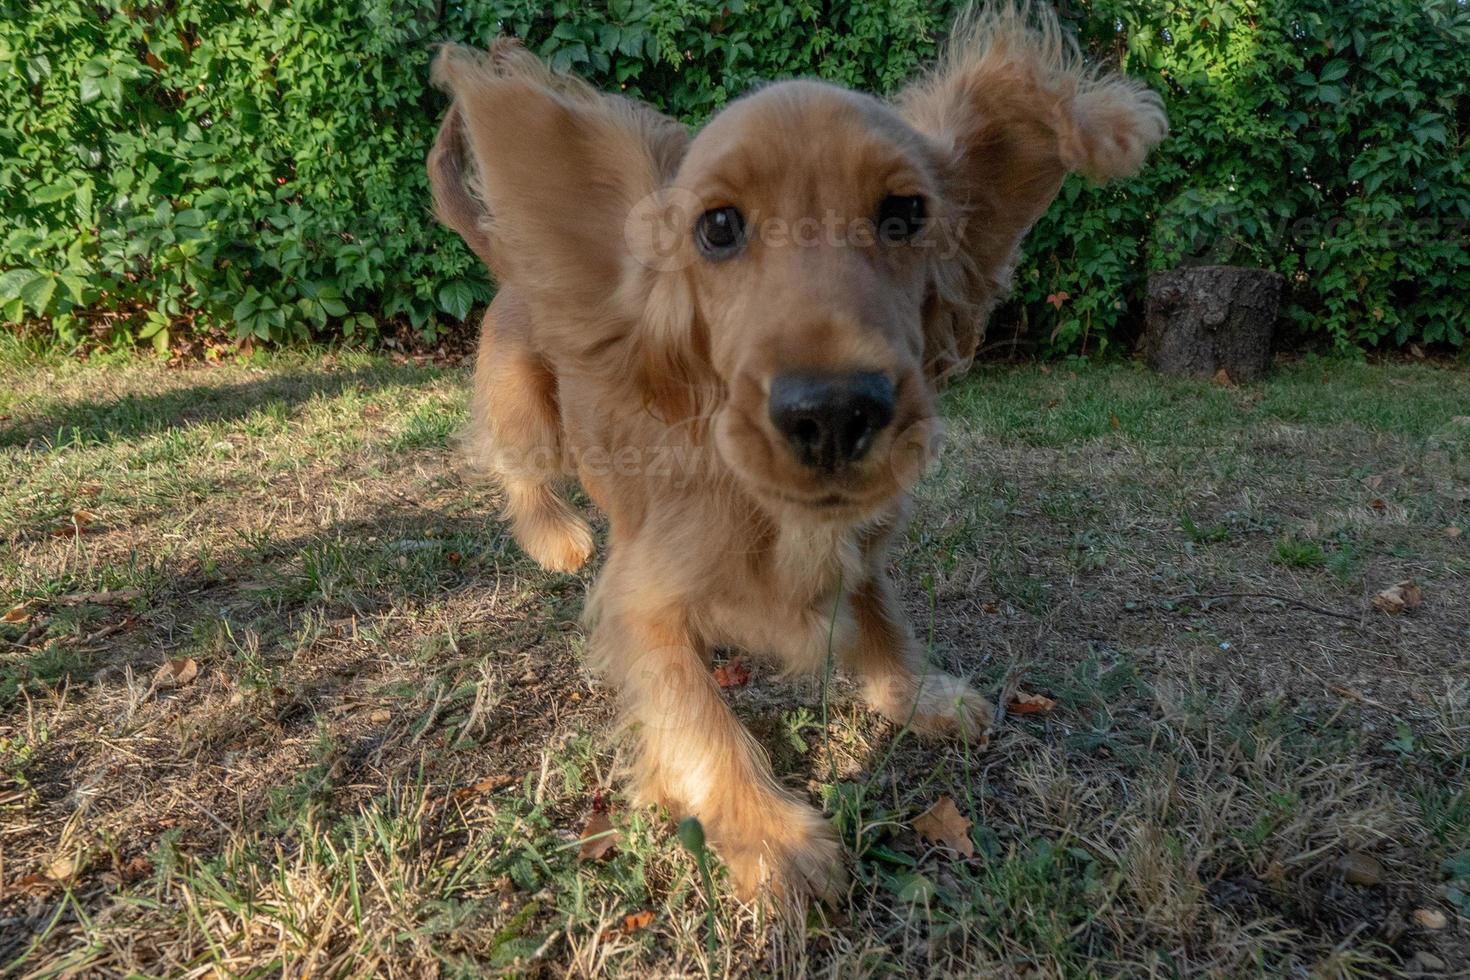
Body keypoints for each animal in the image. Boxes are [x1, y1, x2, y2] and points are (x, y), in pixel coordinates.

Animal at [426, 3, 1158, 899]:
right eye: (717, 227)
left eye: (906, 215)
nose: (836, 413)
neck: (771, 513)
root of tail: (517, 259)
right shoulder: (640, 599)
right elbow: (695, 715)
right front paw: (771, 836)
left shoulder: (863, 550)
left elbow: (881, 619)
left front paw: (922, 695)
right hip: (528, 415)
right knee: (517, 473)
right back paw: (556, 538)